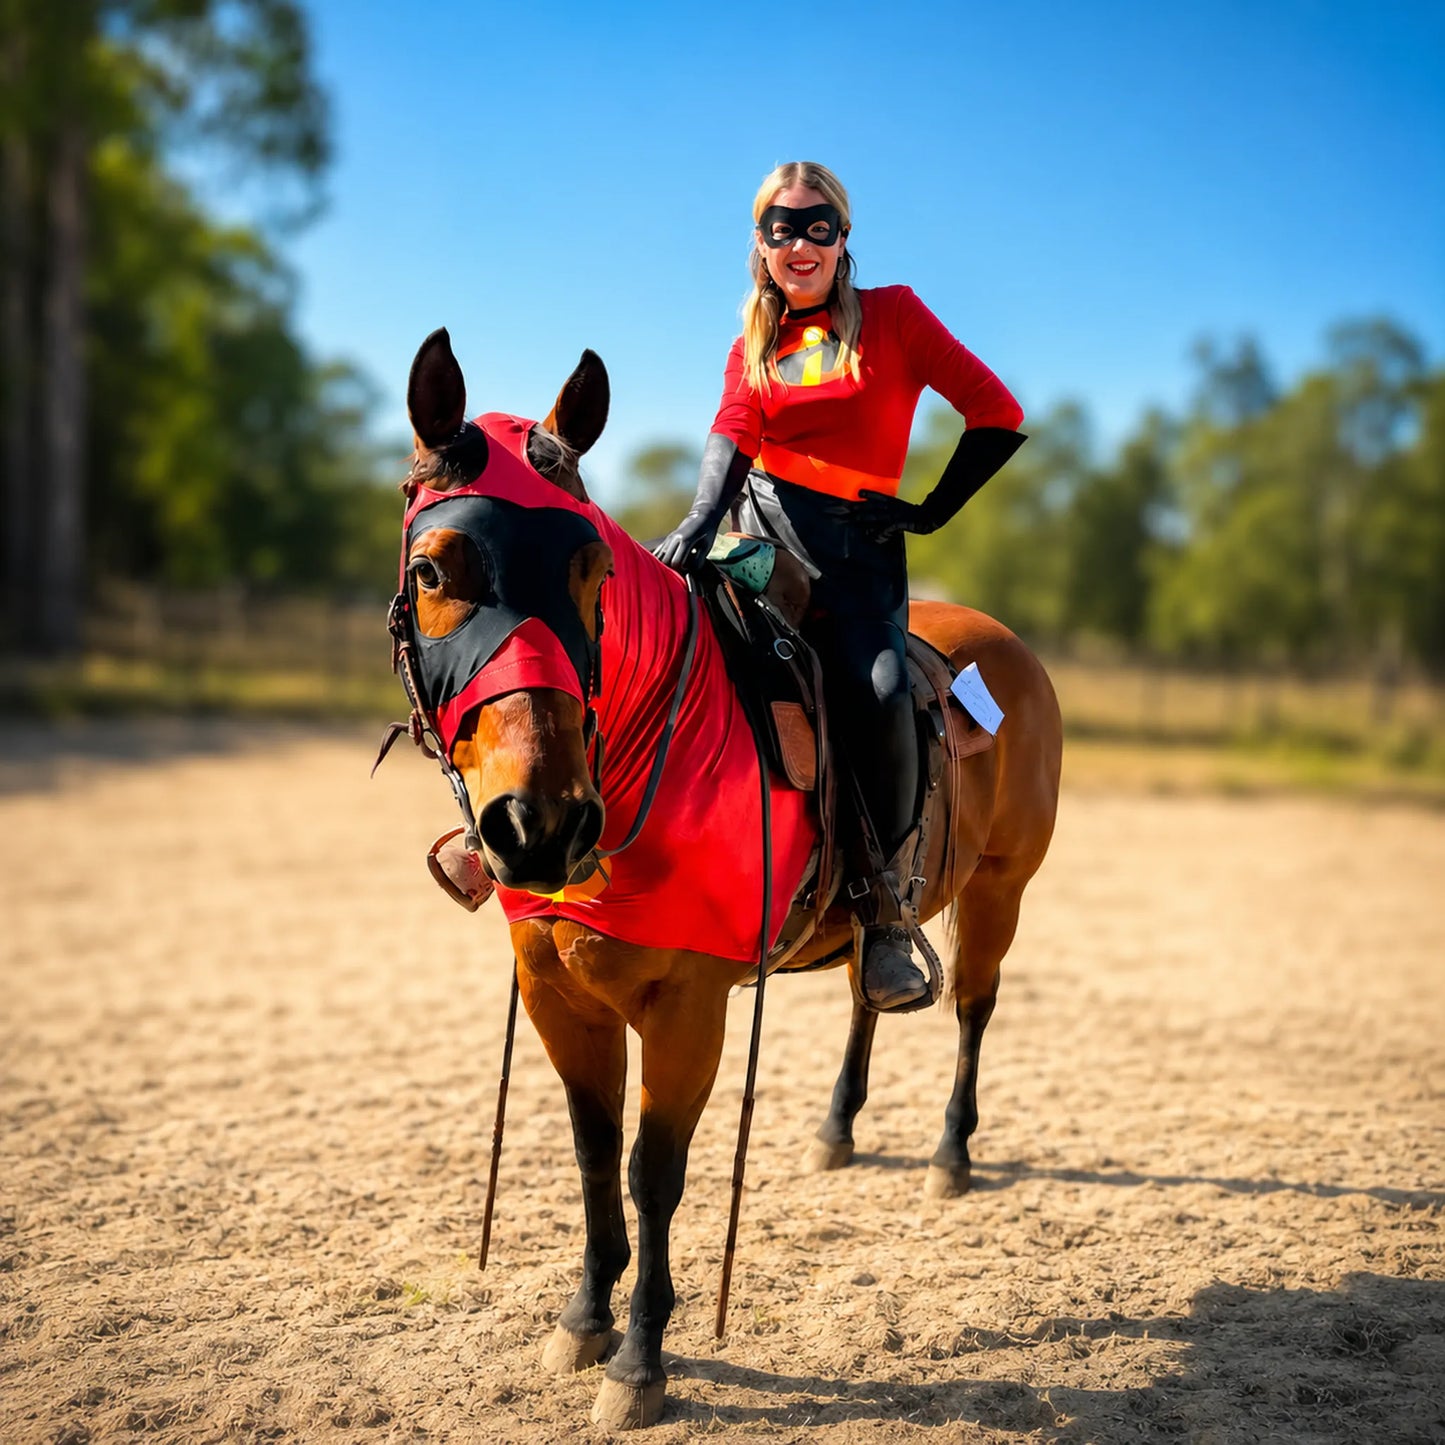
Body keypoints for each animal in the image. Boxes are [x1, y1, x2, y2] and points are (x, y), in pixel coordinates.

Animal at [389, 328, 1062, 1429]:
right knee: (867, 987)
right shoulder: (555, 991)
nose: (541, 823)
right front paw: (583, 1318)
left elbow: (651, 1173)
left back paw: (949, 1155)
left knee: (972, 1008)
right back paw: (836, 1127)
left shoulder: (687, 1006)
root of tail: (1002, 642)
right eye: (433, 568)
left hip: (1000, 886)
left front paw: (638, 1363)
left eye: (590, 568)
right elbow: (591, 1151)